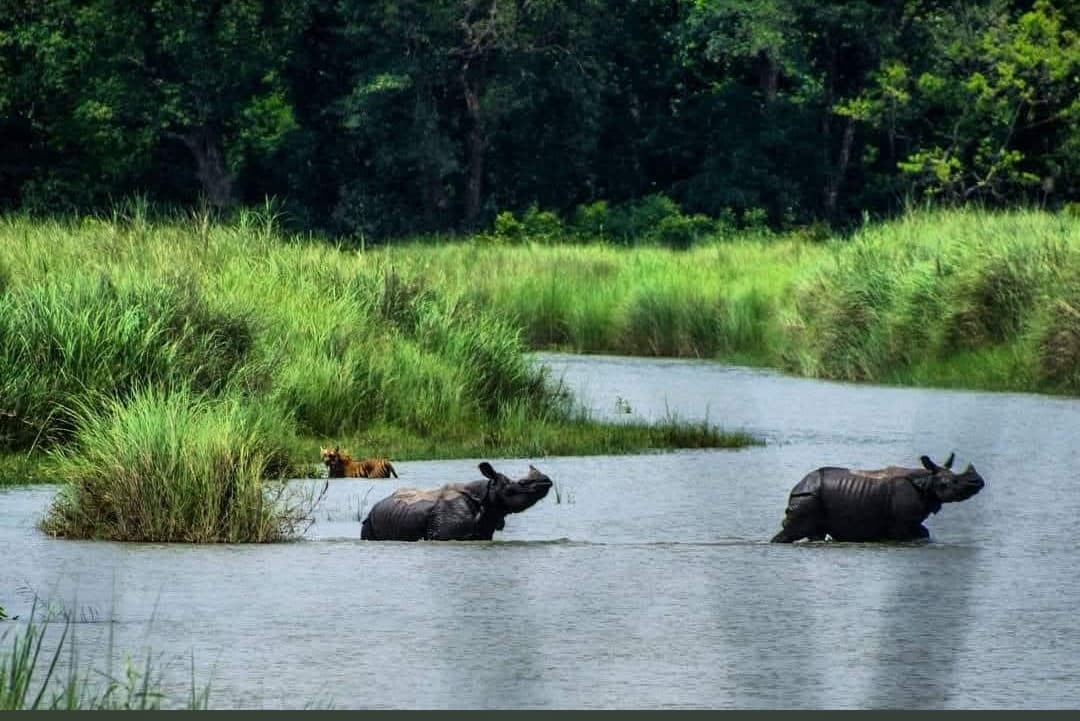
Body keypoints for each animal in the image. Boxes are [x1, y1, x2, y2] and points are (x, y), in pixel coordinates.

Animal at [770, 453, 985, 543]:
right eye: (951, 483)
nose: (979, 481)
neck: (927, 481)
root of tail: (798, 485)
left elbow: (924, 532)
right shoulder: (901, 524)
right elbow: (916, 534)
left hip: (811, 496)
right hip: (808, 497)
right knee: (793, 531)